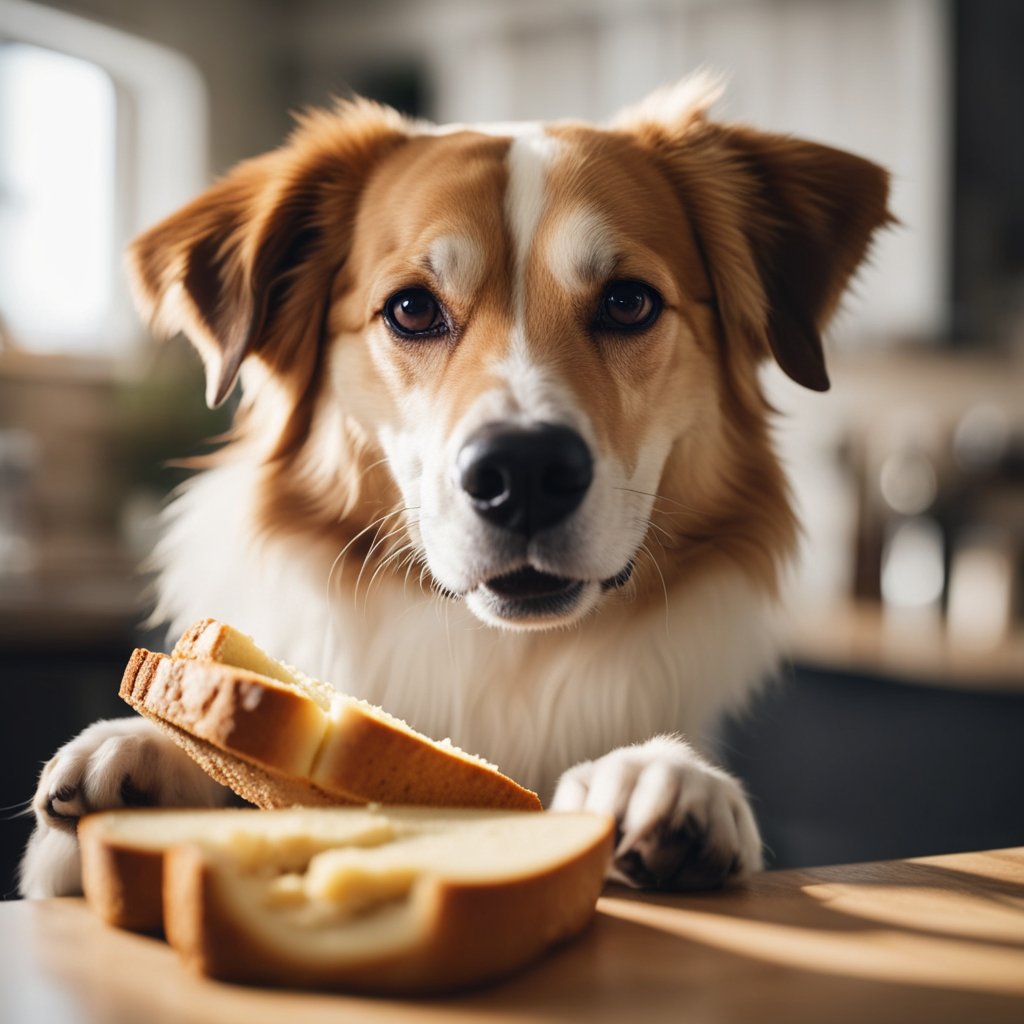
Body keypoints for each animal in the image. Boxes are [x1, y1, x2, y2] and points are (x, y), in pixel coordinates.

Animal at [19, 79, 892, 897]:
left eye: (628, 301)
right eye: (411, 309)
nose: (525, 474)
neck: (501, 662)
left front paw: (660, 773)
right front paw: (151, 750)